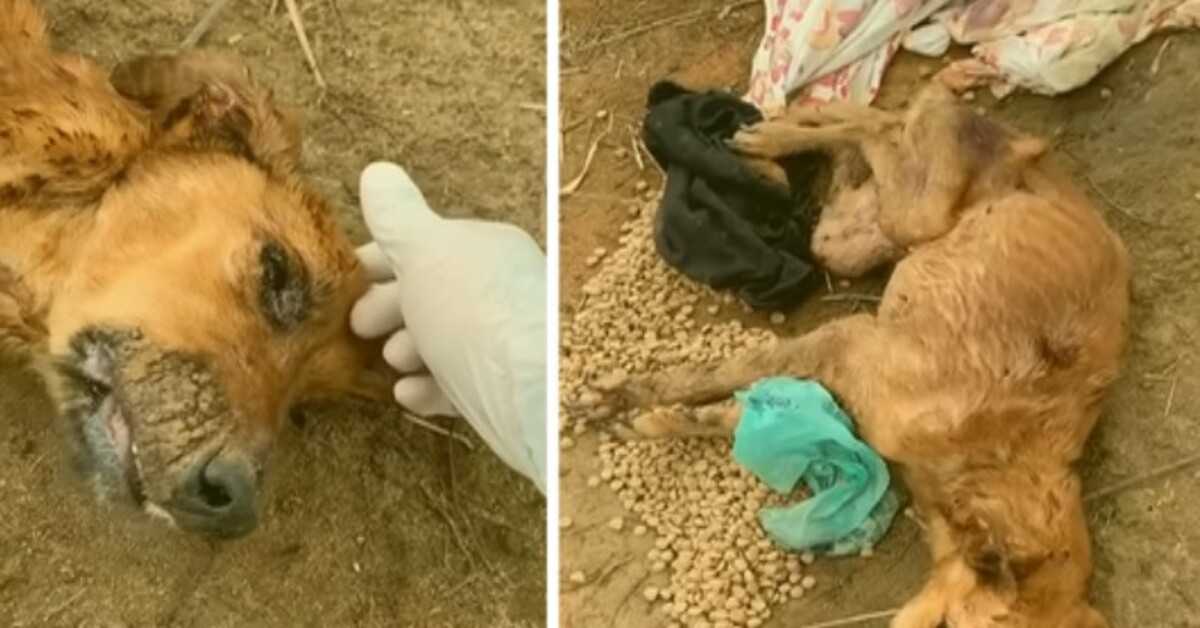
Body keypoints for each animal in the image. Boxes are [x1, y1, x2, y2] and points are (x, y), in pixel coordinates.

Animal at [595, 83, 1128, 628]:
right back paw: (776, 138)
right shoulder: (847, 342)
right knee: (887, 124)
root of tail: (1038, 159)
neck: (1000, 458)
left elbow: (733, 412)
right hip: (913, 215)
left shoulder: (846, 390)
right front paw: (627, 395)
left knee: (880, 130)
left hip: (852, 240)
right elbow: (719, 372)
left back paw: (800, 136)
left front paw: (657, 421)